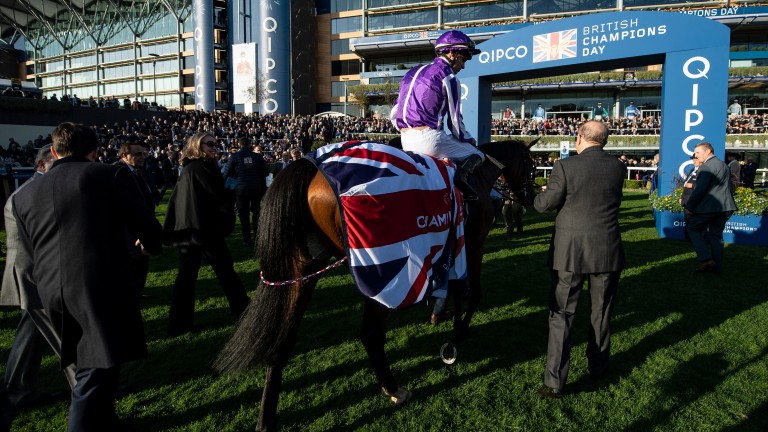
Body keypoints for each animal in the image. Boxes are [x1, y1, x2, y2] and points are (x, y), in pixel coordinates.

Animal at [213, 140, 536, 430]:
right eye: (532, 165)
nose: (529, 197)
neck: (478, 175)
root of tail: (310, 166)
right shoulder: (474, 242)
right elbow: (472, 292)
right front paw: (455, 338)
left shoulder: (454, 244)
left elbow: (456, 288)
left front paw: (442, 316)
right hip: (380, 265)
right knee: (370, 333)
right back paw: (393, 388)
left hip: (304, 268)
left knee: (282, 342)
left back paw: (266, 419)